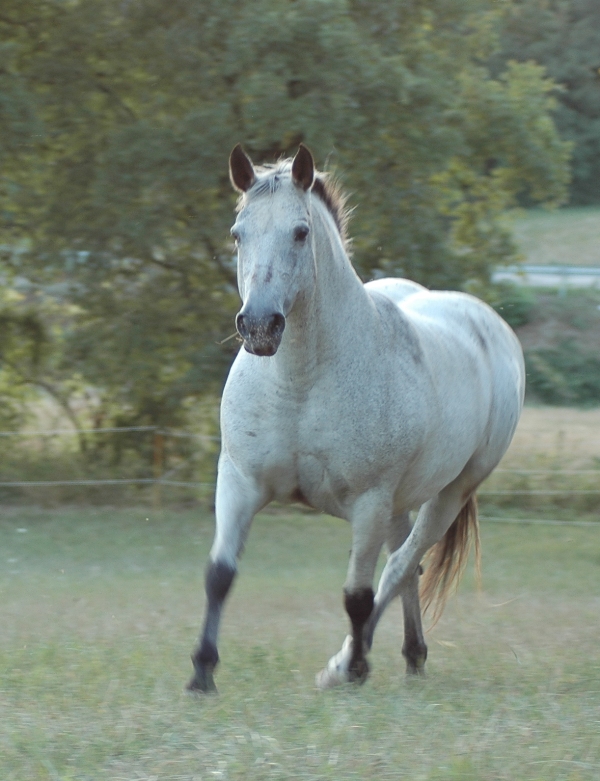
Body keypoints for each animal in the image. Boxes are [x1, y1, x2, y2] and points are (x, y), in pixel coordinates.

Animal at [189, 143, 524, 692]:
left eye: (300, 232)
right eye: (238, 233)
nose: (259, 326)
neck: (301, 383)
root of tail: (490, 325)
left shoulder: (368, 501)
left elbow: (357, 595)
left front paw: (355, 668)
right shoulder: (239, 480)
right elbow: (220, 574)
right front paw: (201, 673)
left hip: (449, 493)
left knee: (400, 566)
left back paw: (346, 663)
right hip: (400, 503)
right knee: (406, 569)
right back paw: (411, 655)